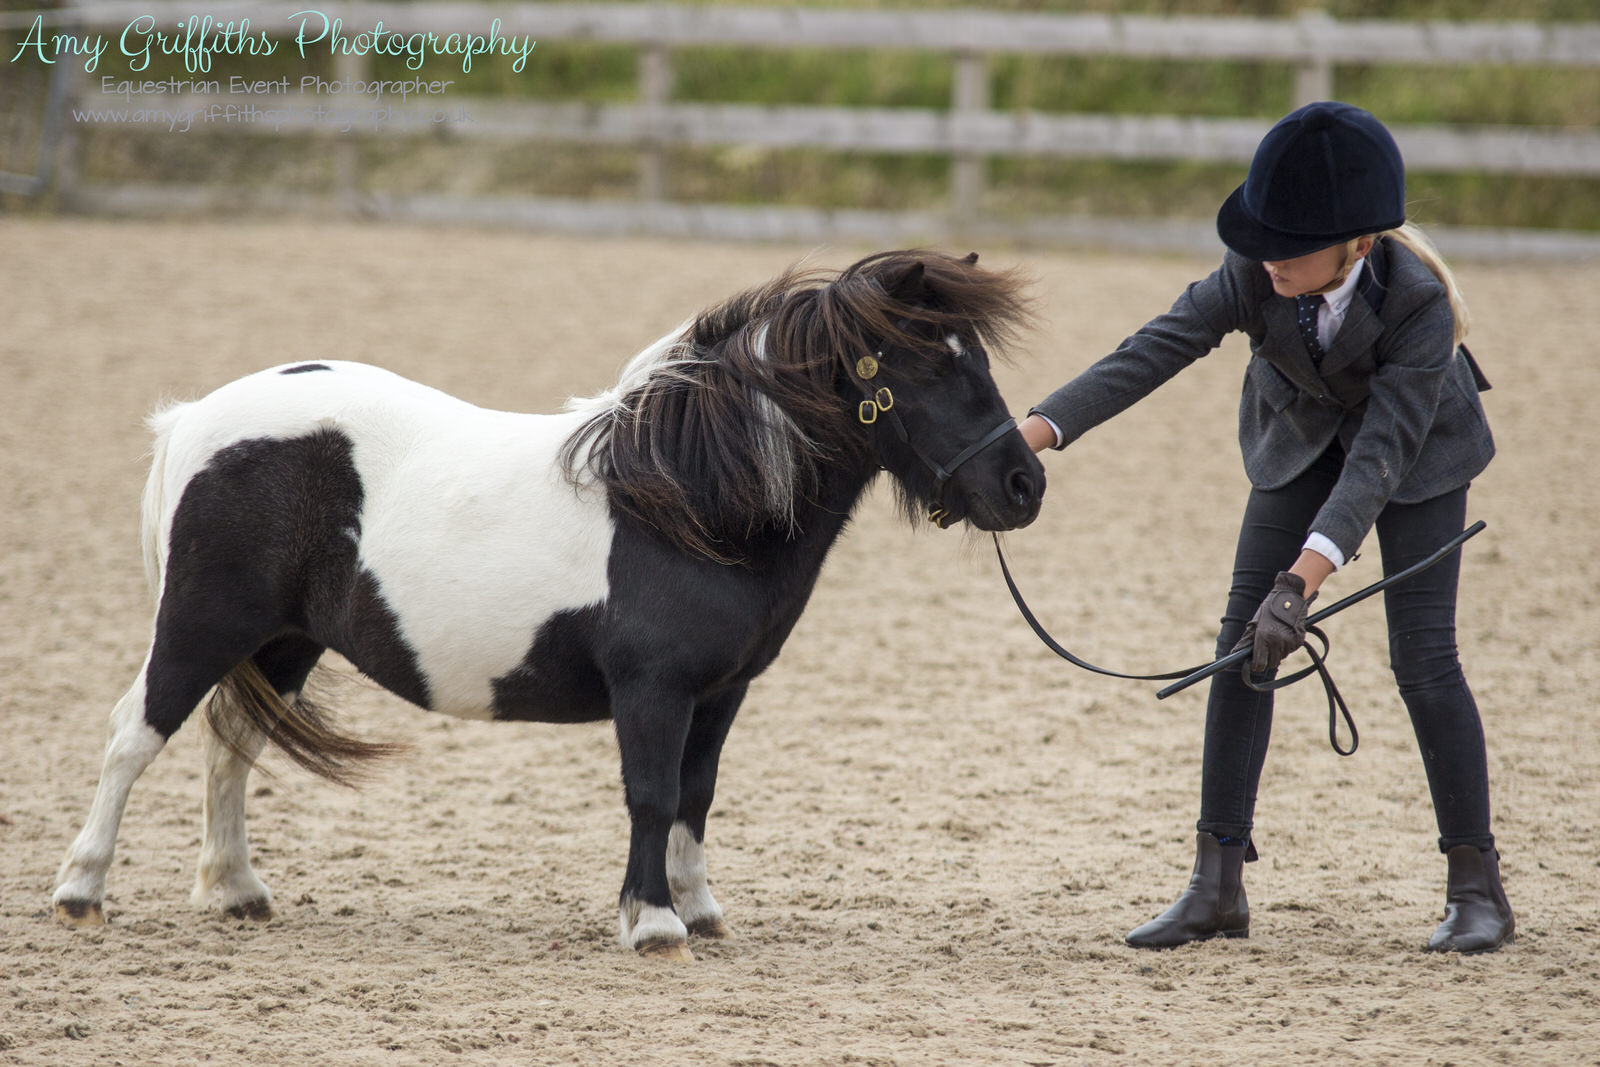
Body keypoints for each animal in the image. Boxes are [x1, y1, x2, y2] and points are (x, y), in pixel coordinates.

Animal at [50, 247, 1043, 959]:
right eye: (931, 366)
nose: (1023, 483)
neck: (687, 501)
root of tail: (196, 419)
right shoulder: (653, 689)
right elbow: (650, 792)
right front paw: (653, 924)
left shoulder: (721, 693)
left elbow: (696, 793)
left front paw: (700, 908)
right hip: (203, 624)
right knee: (135, 732)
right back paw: (81, 891)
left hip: (286, 640)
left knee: (231, 745)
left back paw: (237, 891)